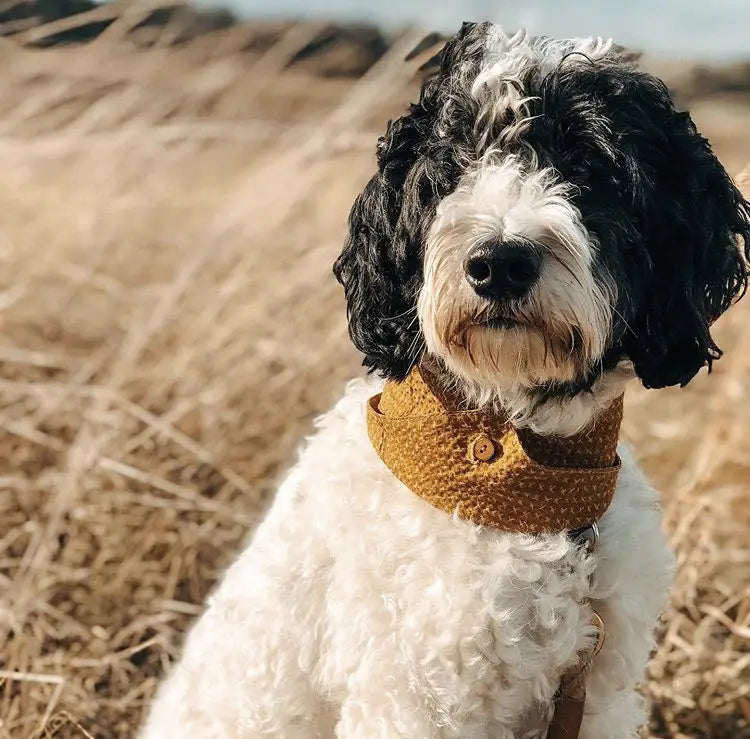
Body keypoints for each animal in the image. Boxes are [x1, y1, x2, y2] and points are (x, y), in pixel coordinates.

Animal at [142, 23, 750, 739]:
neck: (521, 482)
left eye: (590, 169)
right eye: (452, 168)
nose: (500, 262)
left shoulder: (599, 693)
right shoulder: (414, 698)